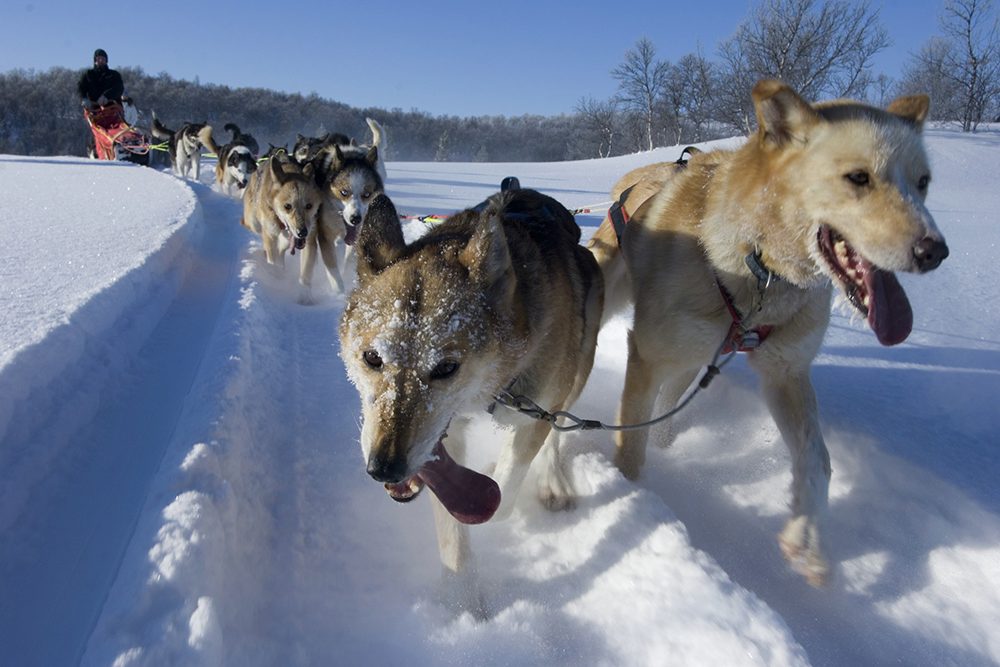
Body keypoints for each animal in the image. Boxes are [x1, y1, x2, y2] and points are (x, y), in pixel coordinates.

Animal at [240, 153, 322, 302]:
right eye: (287, 206)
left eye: (309, 206)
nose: (302, 232)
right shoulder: (270, 237)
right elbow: (273, 261)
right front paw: (276, 278)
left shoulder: (310, 241)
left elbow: (306, 273)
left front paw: (305, 295)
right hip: (254, 223)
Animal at [340, 189, 604, 616]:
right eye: (372, 358)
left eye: (447, 367)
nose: (384, 469)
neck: (494, 388)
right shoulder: (448, 441)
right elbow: (453, 530)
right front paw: (461, 601)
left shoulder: (534, 412)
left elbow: (505, 491)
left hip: (575, 372)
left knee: (556, 428)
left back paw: (550, 479)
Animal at [588, 81, 948, 588]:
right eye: (858, 177)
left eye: (923, 182)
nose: (934, 250)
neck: (757, 268)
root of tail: (637, 176)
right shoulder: (647, 356)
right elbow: (630, 449)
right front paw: (635, 496)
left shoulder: (787, 372)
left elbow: (817, 458)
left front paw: (808, 539)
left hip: (695, 357)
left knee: (672, 402)